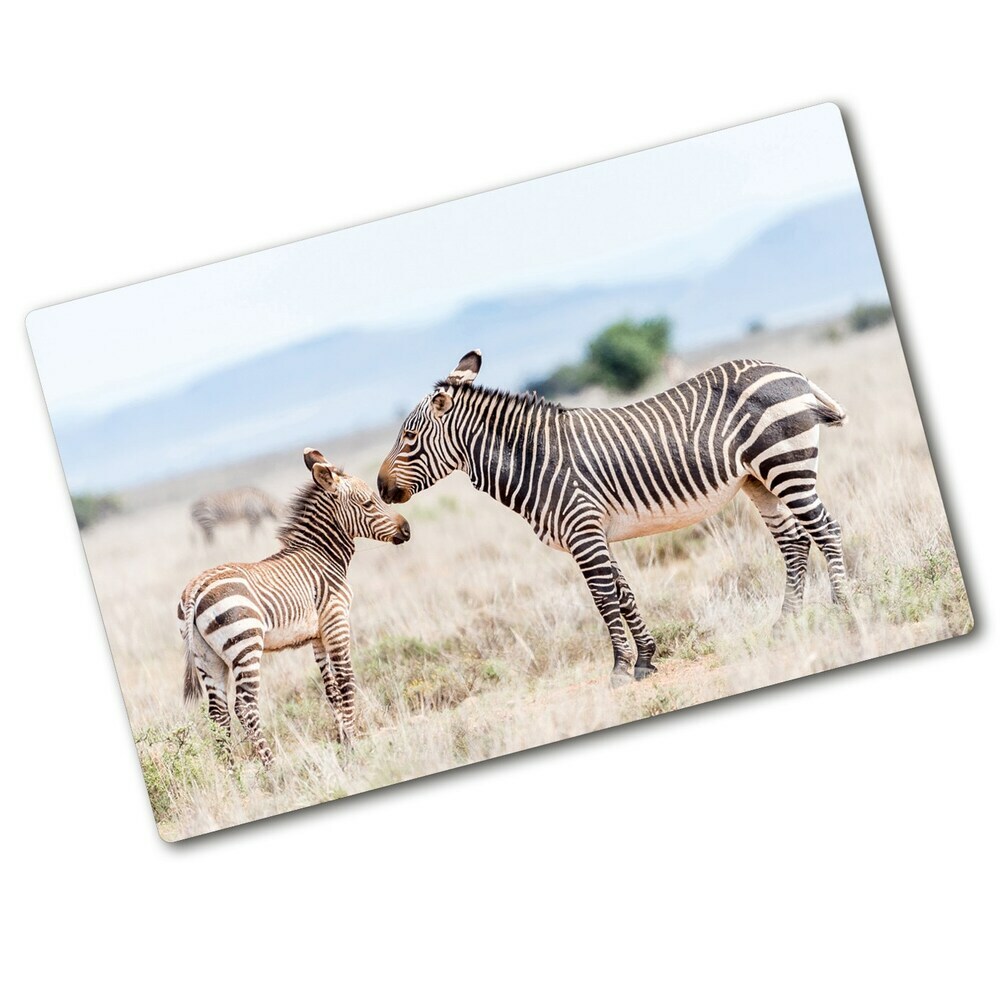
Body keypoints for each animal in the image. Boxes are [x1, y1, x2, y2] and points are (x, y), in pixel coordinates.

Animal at [179, 452, 410, 764]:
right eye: (368, 504)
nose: (407, 529)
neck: (322, 554)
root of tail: (196, 587)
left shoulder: (317, 635)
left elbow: (331, 689)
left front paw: (343, 741)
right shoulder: (336, 621)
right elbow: (346, 682)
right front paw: (353, 747)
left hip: (207, 657)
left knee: (218, 714)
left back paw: (232, 772)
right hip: (245, 645)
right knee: (245, 706)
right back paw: (272, 767)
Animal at [378, 352, 848, 688]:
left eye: (409, 438)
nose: (381, 489)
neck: (535, 460)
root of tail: (790, 371)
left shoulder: (583, 530)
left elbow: (604, 601)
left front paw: (620, 669)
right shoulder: (594, 533)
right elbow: (624, 594)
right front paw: (646, 660)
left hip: (786, 465)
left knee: (825, 529)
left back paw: (842, 607)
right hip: (758, 480)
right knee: (793, 541)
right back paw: (786, 623)